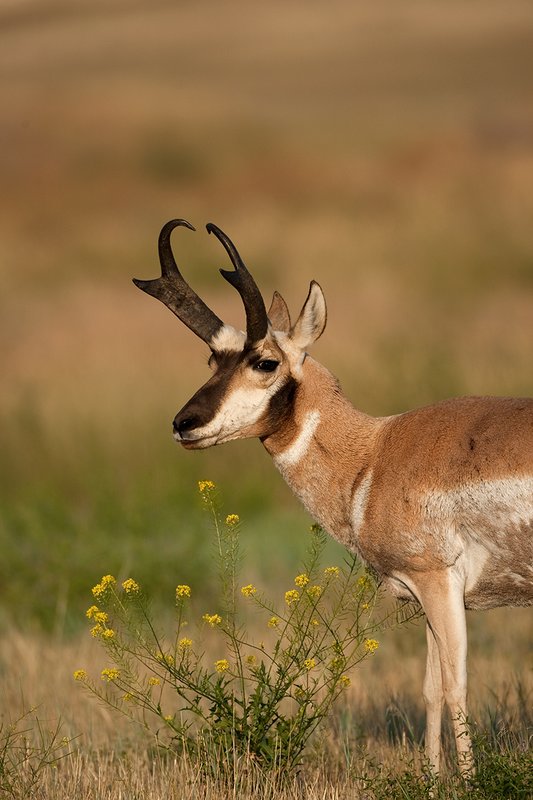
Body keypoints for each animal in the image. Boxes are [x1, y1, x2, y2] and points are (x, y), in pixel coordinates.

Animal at [134, 219, 533, 774]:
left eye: (264, 361)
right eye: (213, 357)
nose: (183, 423)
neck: (374, 453)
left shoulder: (438, 584)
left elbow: (456, 689)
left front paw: (469, 783)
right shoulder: (424, 595)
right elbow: (430, 691)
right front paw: (434, 782)